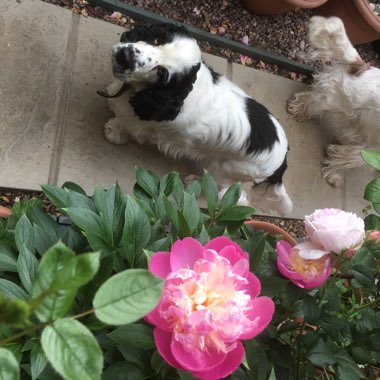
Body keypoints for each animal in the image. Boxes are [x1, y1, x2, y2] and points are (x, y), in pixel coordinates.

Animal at [99, 23, 292, 214]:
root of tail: (282, 161)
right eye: (157, 39)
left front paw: (114, 131)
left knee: (228, 191)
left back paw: (195, 181)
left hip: (224, 169)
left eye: (161, 72)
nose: (125, 56)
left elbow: (126, 124)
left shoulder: (140, 122)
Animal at [290, 15, 378, 187]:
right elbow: (345, 159)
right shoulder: (370, 152)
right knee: (312, 100)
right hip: (338, 100)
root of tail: (363, 67)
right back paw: (298, 110)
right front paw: (334, 175)